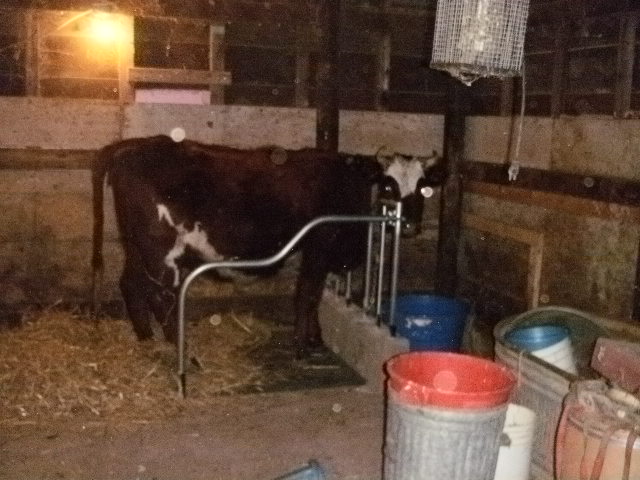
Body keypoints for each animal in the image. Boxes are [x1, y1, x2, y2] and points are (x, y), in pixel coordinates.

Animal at [91, 135, 445, 357]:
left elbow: (315, 295)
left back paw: (146, 339)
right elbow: (308, 294)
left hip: (135, 245)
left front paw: (315, 338)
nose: (410, 226)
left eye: (423, 187)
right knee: (161, 296)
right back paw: (182, 352)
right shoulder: (318, 245)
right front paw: (302, 345)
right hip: (160, 248)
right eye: (389, 184)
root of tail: (132, 146)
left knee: (131, 284)